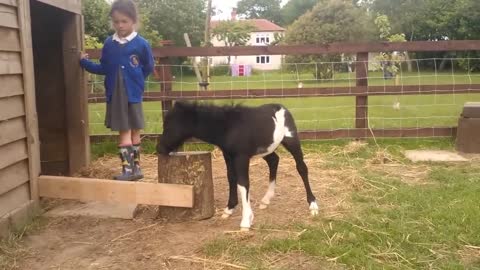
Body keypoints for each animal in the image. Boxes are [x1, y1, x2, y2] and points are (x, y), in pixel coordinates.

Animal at [158, 101, 318, 230]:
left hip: (292, 141)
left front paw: (246, 221)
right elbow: (231, 178)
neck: (228, 127)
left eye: (170, 126)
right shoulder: (228, 156)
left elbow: (243, 183)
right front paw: (229, 209)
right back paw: (266, 200)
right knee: (274, 161)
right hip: (266, 149)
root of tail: (281, 107)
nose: (160, 148)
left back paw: (313, 205)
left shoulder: (241, 157)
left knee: (302, 168)